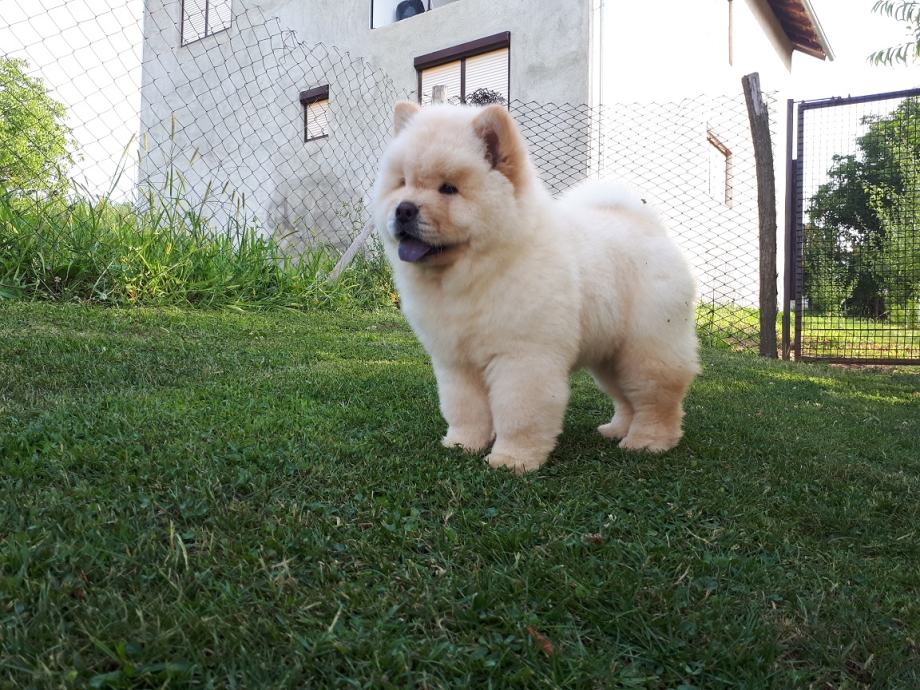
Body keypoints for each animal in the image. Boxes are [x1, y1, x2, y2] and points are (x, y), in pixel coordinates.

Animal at [372, 102, 699, 473]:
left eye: (448, 189)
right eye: (402, 183)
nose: (404, 209)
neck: (475, 273)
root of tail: (648, 225)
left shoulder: (523, 358)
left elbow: (519, 413)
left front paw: (512, 460)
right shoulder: (456, 361)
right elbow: (464, 408)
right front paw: (462, 444)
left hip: (646, 347)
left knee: (656, 398)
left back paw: (648, 442)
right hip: (609, 352)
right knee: (626, 397)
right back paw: (616, 429)